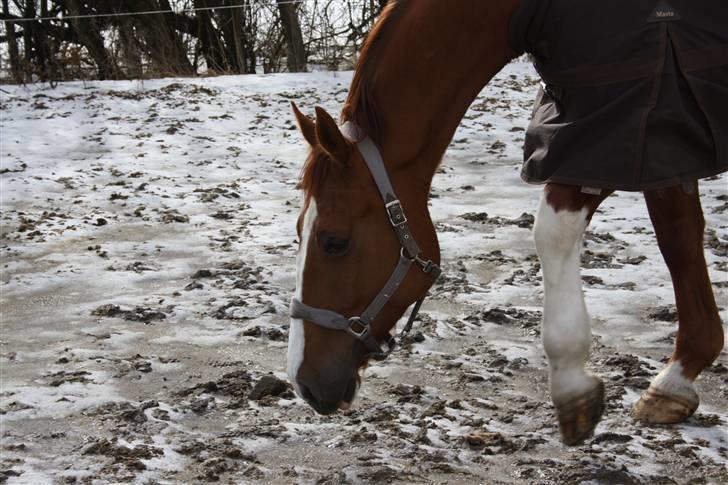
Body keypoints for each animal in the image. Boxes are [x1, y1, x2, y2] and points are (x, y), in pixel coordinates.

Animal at [284, 0, 724, 444]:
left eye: (334, 242)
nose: (303, 383)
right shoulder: (658, 138)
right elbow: (679, 236)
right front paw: (677, 377)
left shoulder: (607, 131)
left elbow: (552, 234)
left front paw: (572, 384)